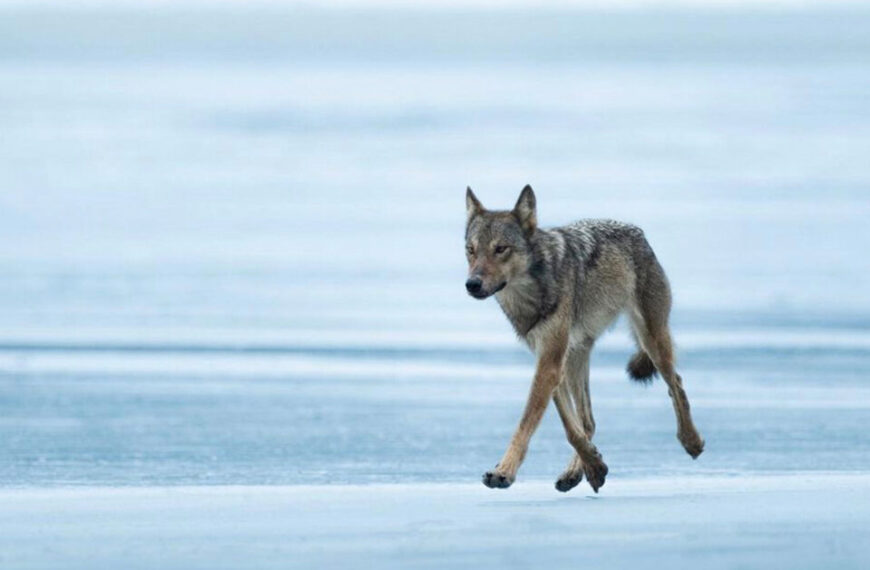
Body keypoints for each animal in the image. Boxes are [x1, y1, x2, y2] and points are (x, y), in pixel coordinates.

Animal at [464, 185, 704, 493]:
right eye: (471, 250)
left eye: (500, 249)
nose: (472, 284)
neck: (531, 295)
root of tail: (637, 232)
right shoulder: (550, 360)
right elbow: (572, 428)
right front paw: (594, 465)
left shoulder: (550, 362)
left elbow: (527, 423)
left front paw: (503, 472)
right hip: (576, 356)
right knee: (588, 421)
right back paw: (577, 472)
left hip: (652, 341)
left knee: (677, 384)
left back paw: (692, 441)